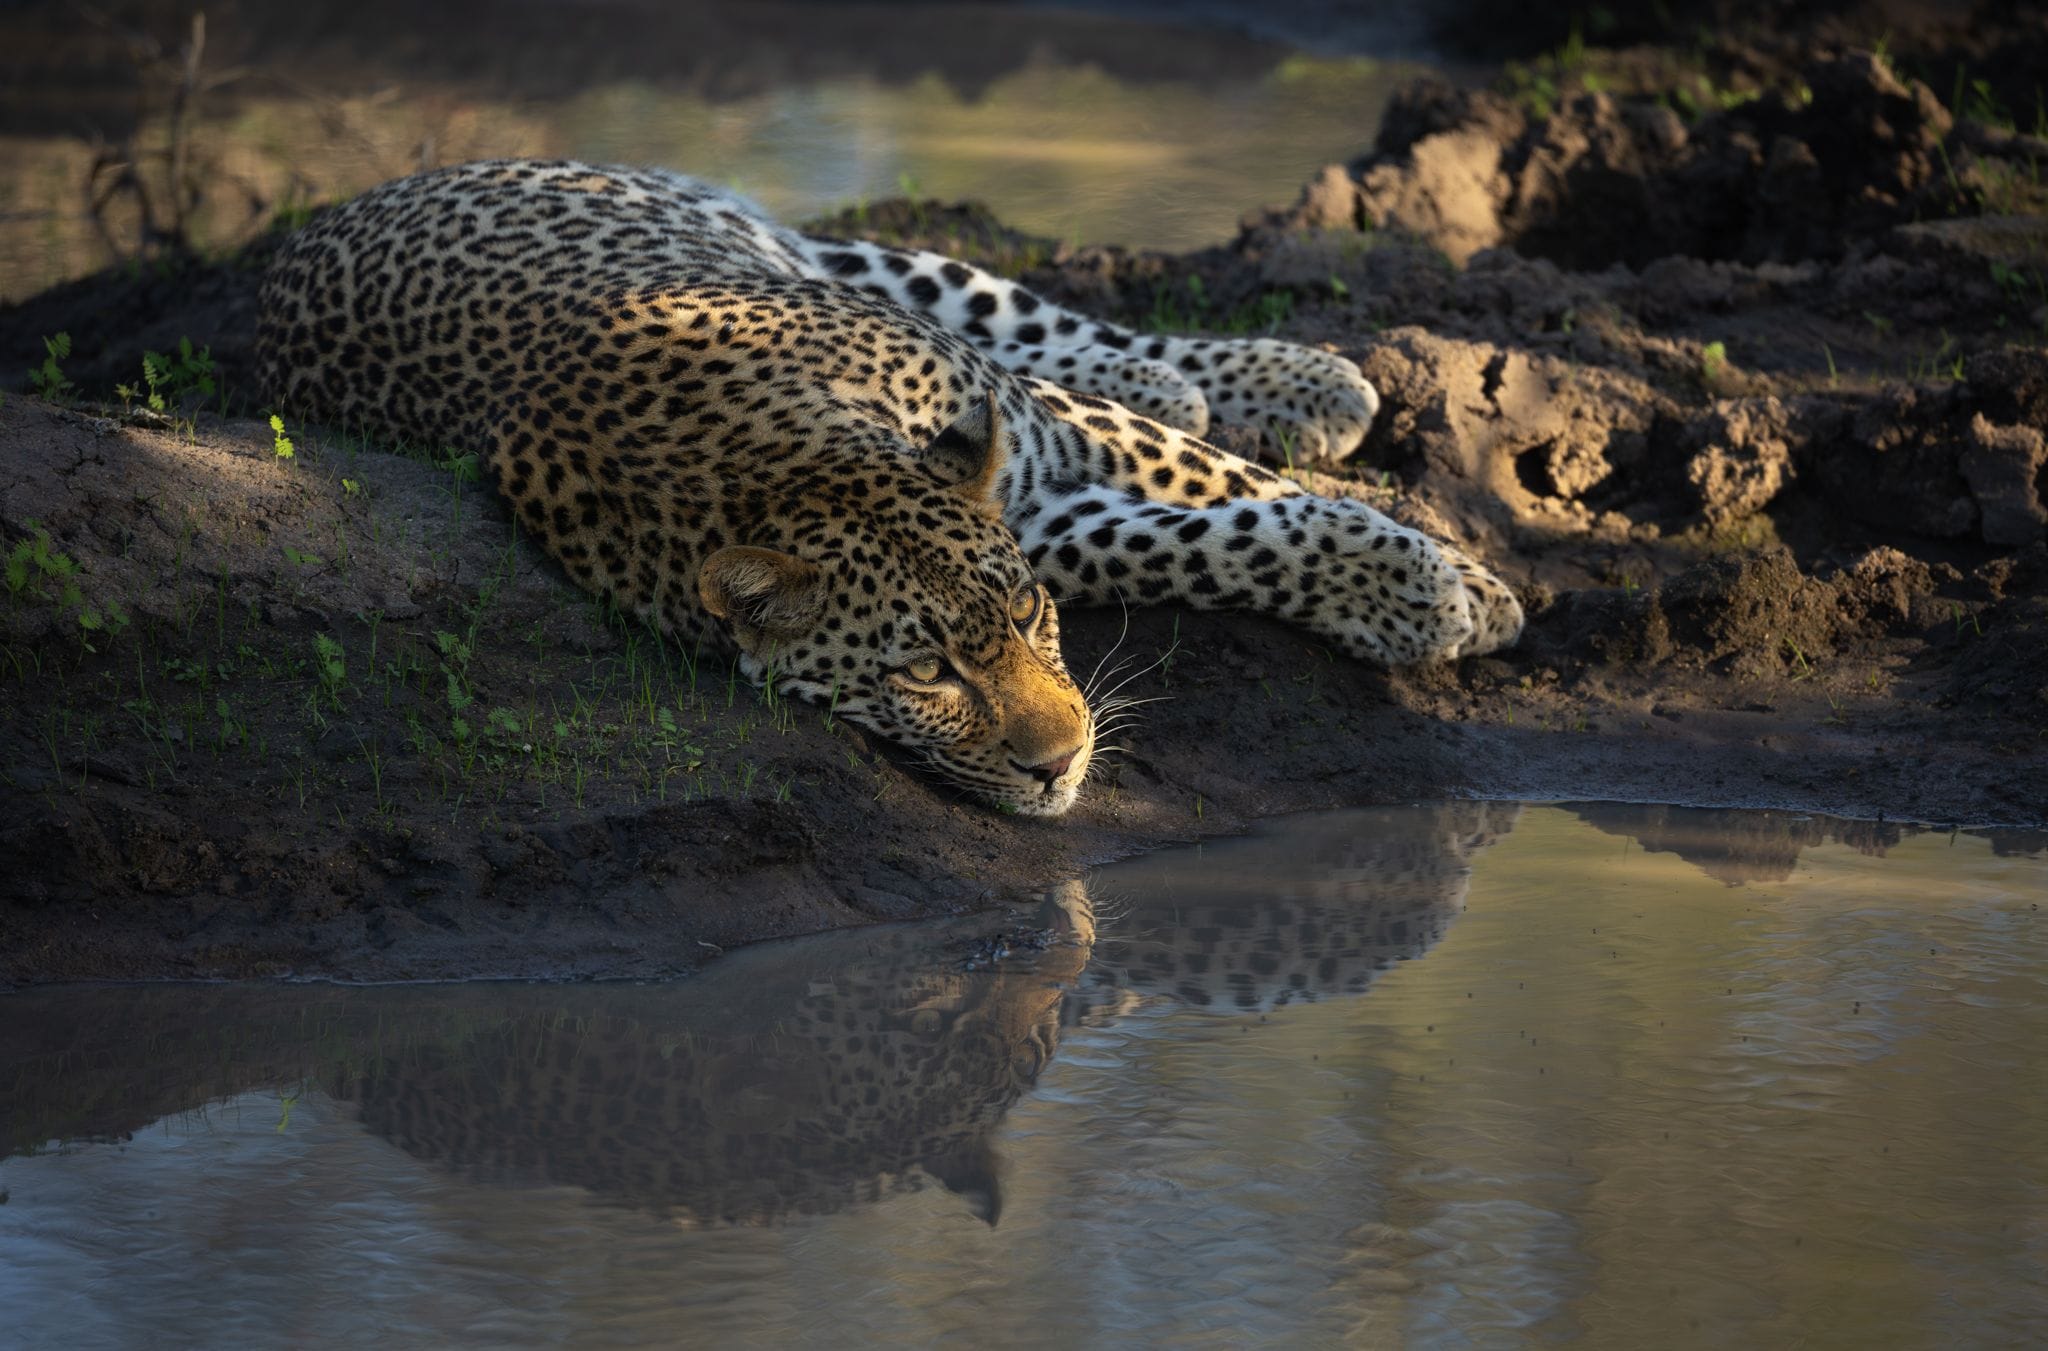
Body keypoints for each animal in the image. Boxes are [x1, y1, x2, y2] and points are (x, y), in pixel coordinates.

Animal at [258, 159, 1523, 817]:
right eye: (923, 672)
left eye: (1024, 616)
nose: (1062, 765)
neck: (792, 458)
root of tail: (322, 222)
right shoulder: (1054, 510)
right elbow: (1215, 540)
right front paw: (1419, 594)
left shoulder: (1038, 438)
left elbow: (1237, 489)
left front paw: (1457, 584)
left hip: (875, 268)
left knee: (1053, 327)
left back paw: (1288, 380)